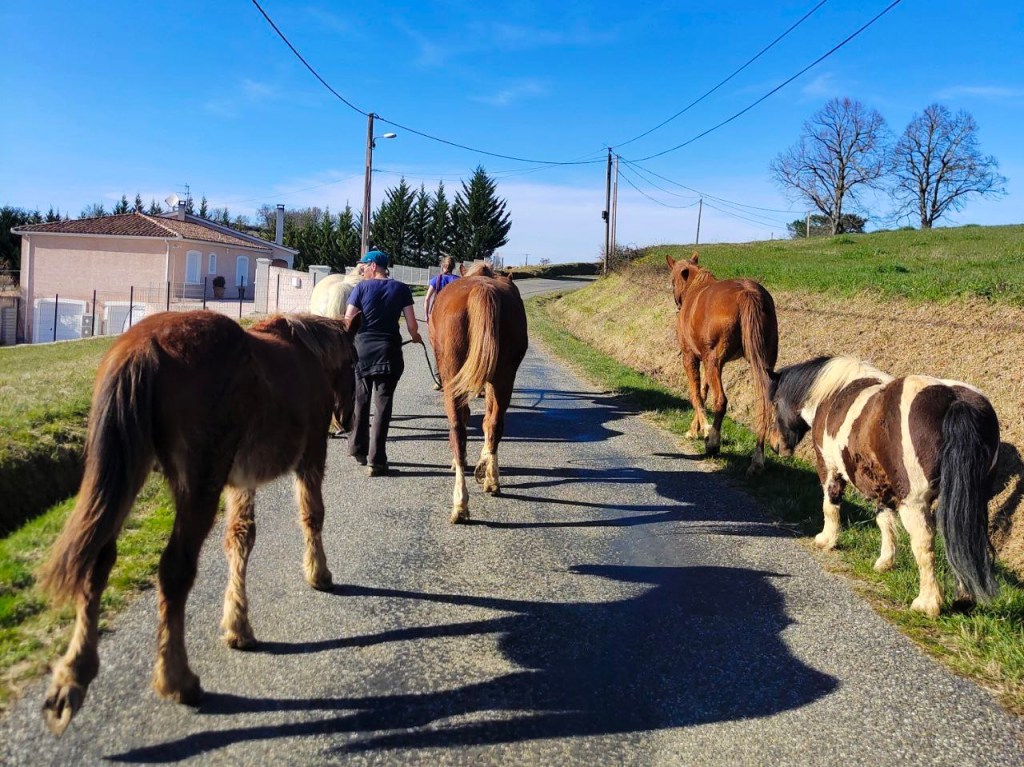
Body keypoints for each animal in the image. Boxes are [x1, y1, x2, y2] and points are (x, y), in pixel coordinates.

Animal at [38, 310, 360, 735]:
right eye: (354, 361)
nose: (349, 419)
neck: (307, 353)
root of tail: (143, 347)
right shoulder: (310, 456)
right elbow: (312, 516)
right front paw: (318, 573)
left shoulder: (241, 481)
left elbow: (240, 538)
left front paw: (238, 625)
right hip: (197, 485)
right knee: (174, 570)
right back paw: (177, 679)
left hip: (127, 472)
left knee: (98, 561)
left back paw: (73, 677)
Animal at [428, 262, 528, 523]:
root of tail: (482, 290)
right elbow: (486, 422)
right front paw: (484, 465)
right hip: (504, 377)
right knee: (494, 423)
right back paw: (492, 480)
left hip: (453, 379)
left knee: (458, 430)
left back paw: (460, 504)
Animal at [665, 253, 779, 474]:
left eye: (672, 281)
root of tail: (747, 293)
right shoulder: (710, 362)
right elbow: (703, 391)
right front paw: (695, 429)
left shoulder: (691, 357)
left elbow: (696, 394)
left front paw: (704, 430)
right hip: (762, 361)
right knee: (764, 402)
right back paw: (757, 459)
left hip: (713, 362)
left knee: (721, 400)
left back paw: (713, 443)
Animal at [770, 355, 1000, 617]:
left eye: (775, 403)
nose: (775, 445)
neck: (832, 392)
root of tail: (955, 400)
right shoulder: (882, 485)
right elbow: (885, 521)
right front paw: (884, 563)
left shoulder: (828, 467)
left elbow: (830, 506)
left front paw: (826, 540)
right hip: (973, 499)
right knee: (963, 540)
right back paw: (964, 598)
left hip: (914, 502)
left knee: (924, 542)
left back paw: (927, 603)